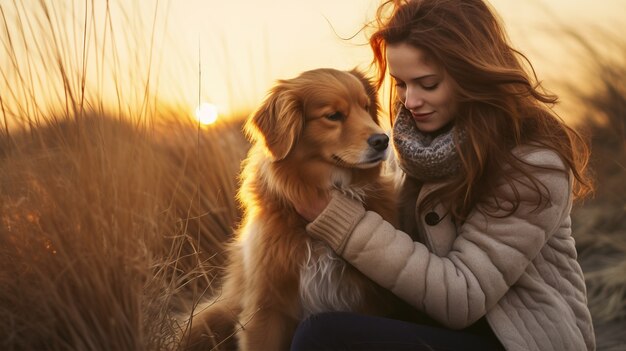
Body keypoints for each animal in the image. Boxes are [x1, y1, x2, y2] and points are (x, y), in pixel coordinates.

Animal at [180, 69, 408, 351]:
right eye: (333, 116)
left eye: (366, 108)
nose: (383, 140)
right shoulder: (266, 308)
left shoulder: (368, 302)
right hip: (205, 320)